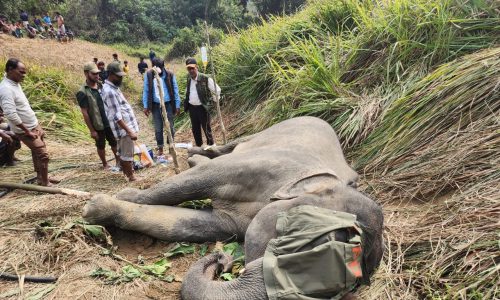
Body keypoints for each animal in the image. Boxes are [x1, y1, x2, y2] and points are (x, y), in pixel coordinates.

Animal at [84, 116, 384, 300]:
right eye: (308, 247)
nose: (222, 259)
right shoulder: (266, 164)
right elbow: (195, 181)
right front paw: (102, 204)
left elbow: (198, 225)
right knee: (226, 149)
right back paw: (195, 155)